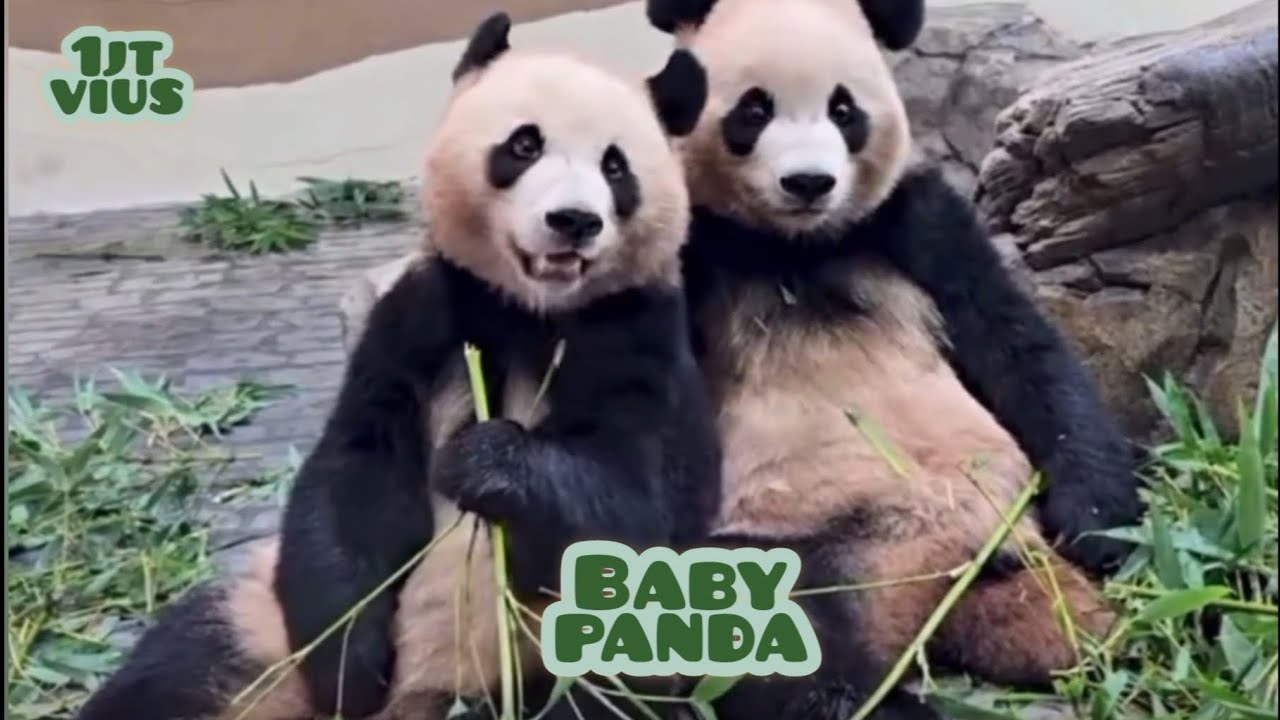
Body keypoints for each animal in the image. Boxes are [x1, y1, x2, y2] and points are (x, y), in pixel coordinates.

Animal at [76, 13, 718, 720]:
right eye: (524, 145)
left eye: (615, 166)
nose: (573, 221)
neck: (531, 308)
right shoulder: (420, 316)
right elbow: (358, 466)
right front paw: (349, 672)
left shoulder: (636, 328)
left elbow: (645, 506)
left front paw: (487, 460)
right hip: (257, 633)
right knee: (179, 665)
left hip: (561, 664)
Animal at [642, 0, 1144, 718]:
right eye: (754, 109)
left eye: (844, 110)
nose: (808, 182)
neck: (791, 244)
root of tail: (936, 589)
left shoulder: (915, 221)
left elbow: (1020, 344)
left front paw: (1097, 525)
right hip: (810, 535)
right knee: (752, 612)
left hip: (999, 531)